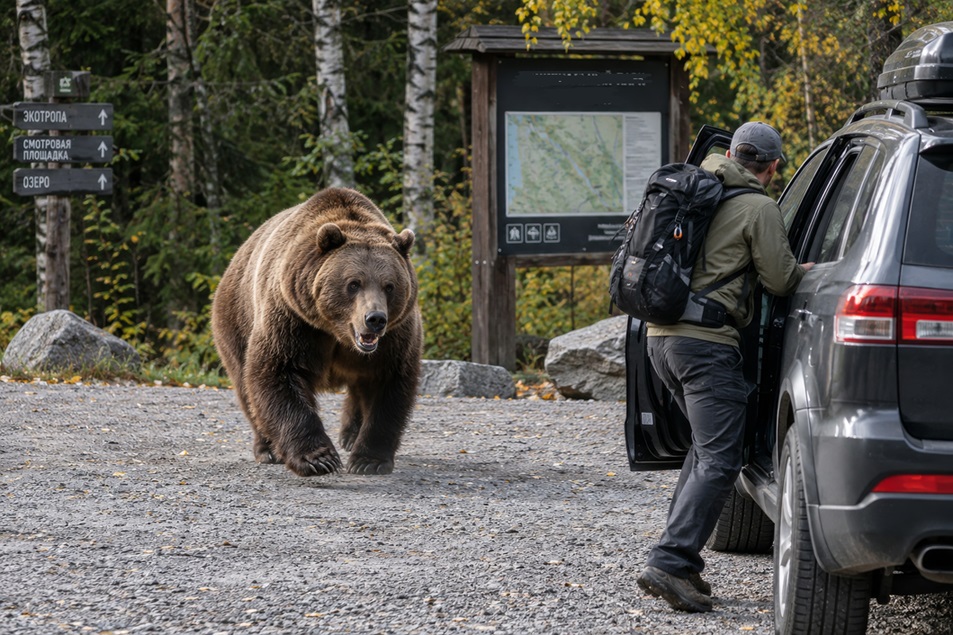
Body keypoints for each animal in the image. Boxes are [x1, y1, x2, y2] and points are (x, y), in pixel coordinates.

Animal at [211, 187, 422, 477]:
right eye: (353, 283)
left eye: (389, 286)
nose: (375, 319)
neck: (338, 333)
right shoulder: (295, 320)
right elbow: (278, 372)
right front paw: (319, 458)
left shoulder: (394, 337)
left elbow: (389, 383)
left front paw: (369, 460)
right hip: (235, 318)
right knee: (245, 385)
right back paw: (268, 449)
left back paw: (350, 434)